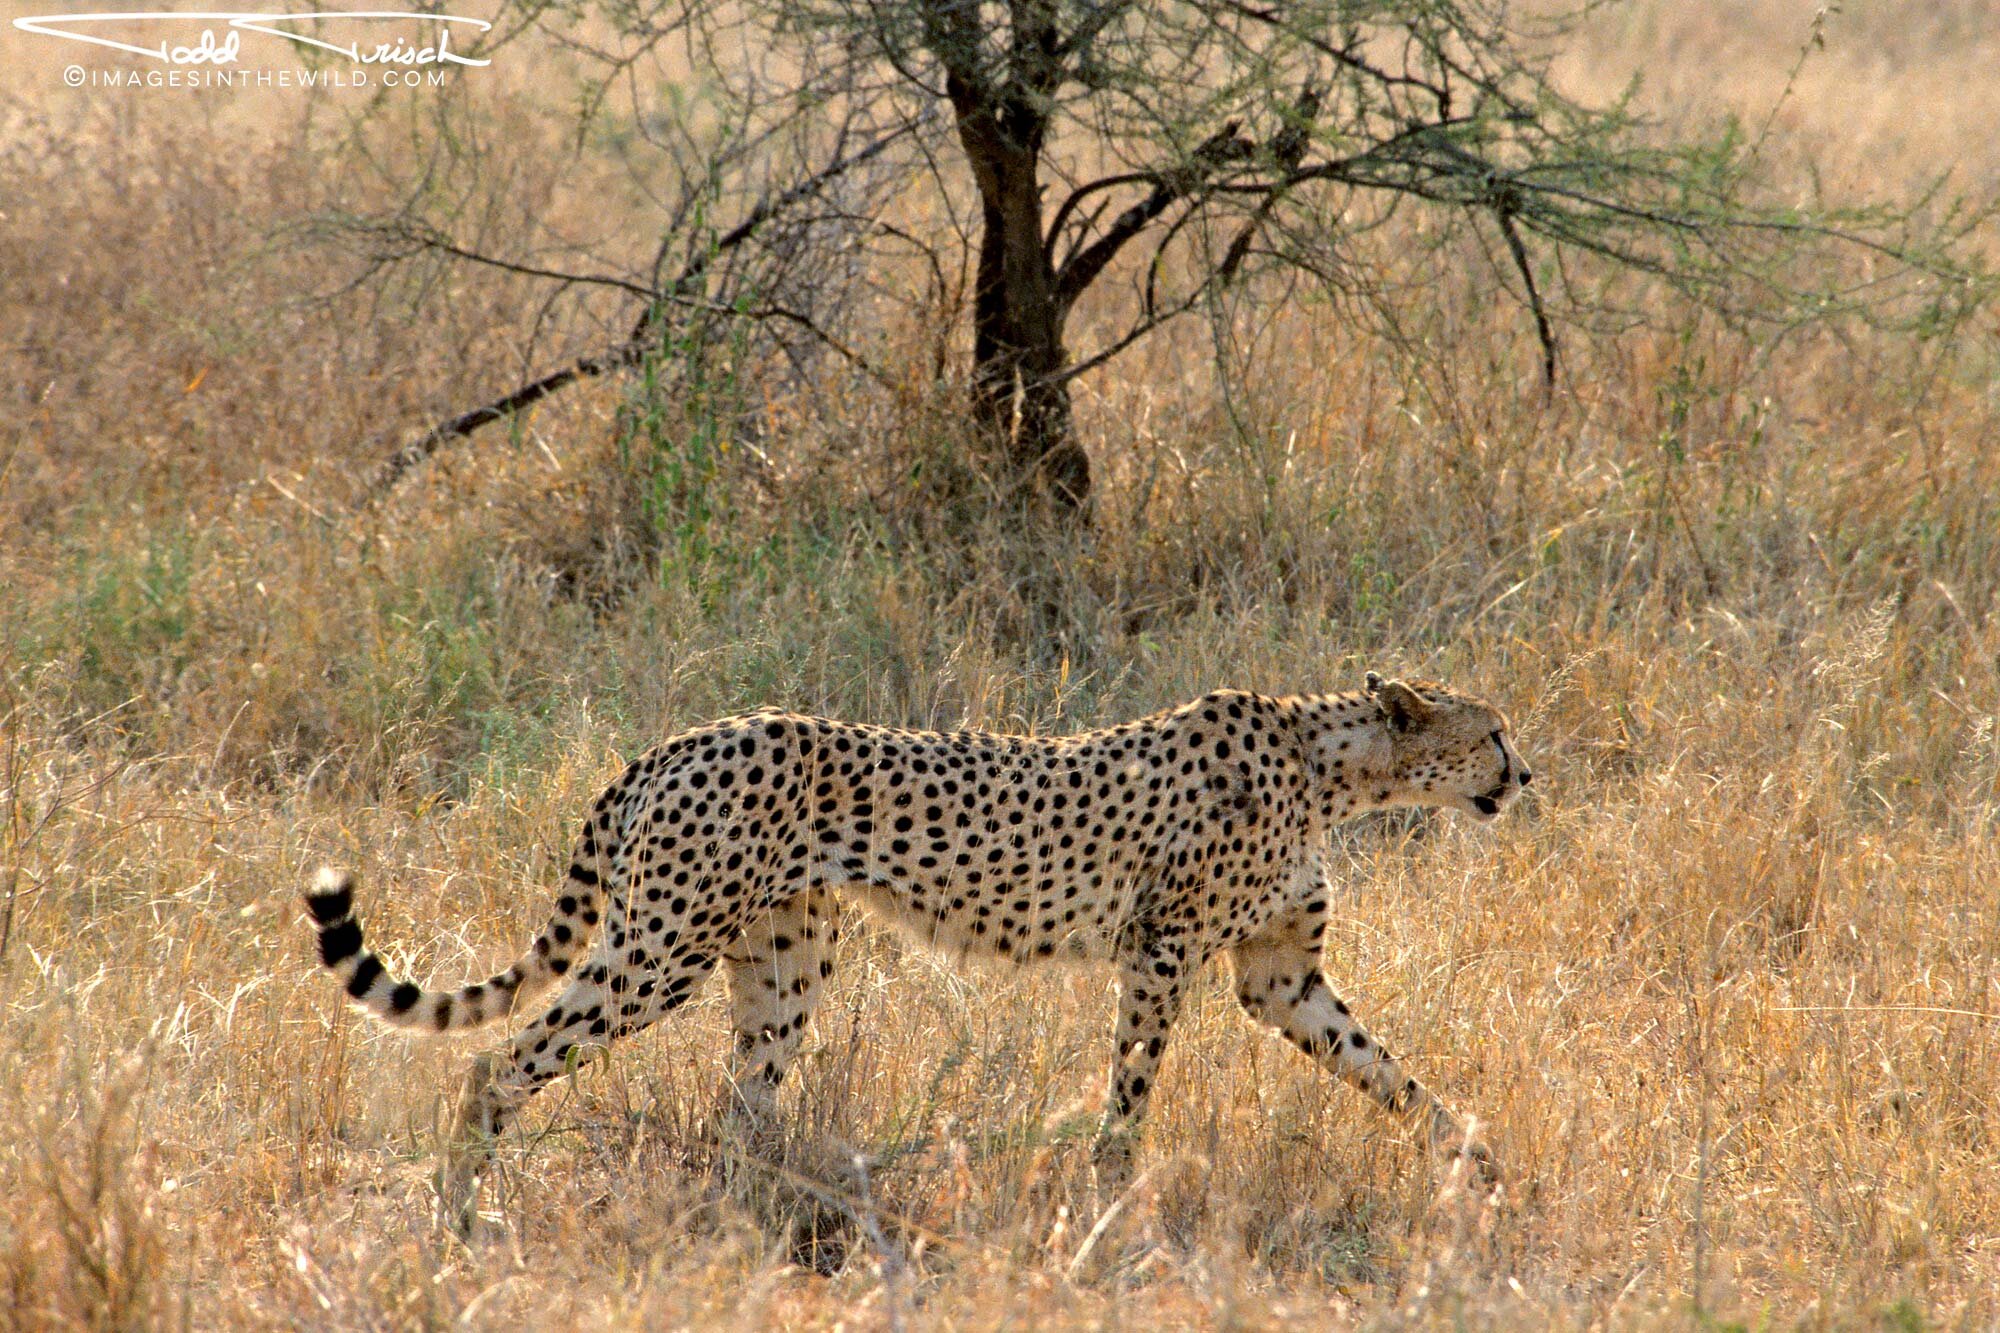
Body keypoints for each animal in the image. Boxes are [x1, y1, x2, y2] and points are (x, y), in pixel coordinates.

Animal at [308, 668, 1528, 1232]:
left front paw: (1478, 1165)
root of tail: (680, 738)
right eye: (1494, 732)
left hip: (784, 961)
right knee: (499, 1060)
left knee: (741, 1107)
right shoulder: (1161, 950)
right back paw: (459, 1214)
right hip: (663, 944)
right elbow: (1130, 1092)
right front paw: (1108, 1199)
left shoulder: (1282, 977)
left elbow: (1392, 1072)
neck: (1334, 769)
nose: (1524, 775)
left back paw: (755, 1221)